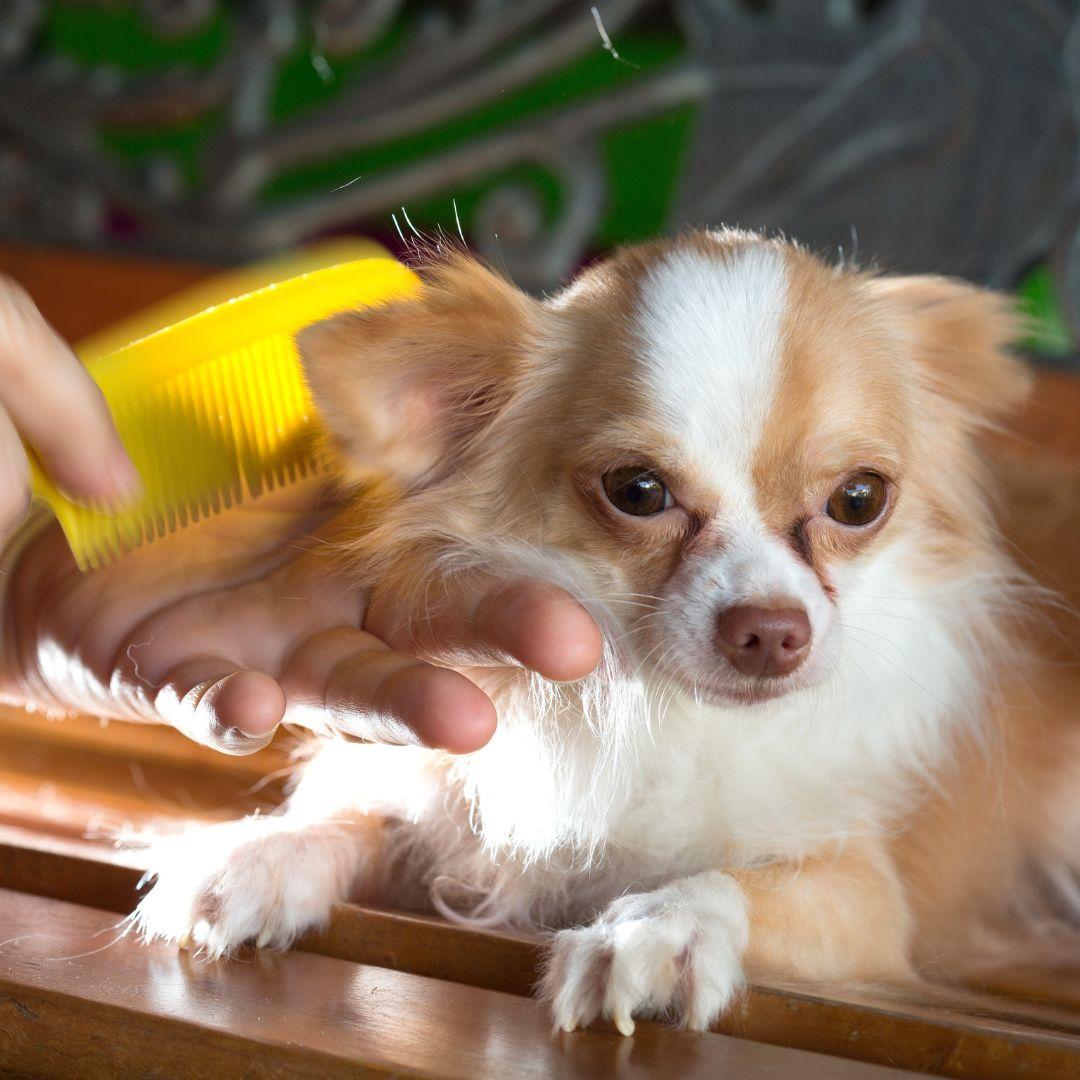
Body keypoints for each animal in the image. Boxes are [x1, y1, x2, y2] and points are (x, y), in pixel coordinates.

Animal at [132, 230, 1080, 1036]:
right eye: (638, 491)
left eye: (859, 499)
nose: (772, 630)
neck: (661, 709)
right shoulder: (464, 797)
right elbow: (363, 812)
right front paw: (257, 854)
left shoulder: (866, 895)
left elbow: (741, 879)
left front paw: (655, 932)